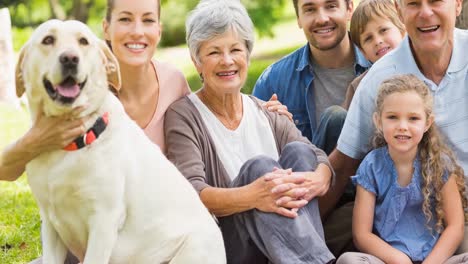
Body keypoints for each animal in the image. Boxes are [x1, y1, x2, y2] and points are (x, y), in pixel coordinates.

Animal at [15, 20, 226, 264]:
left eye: (83, 41)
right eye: (48, 40)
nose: (70, 58)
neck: (70, 145)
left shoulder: (103, 222)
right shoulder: (50, 224)